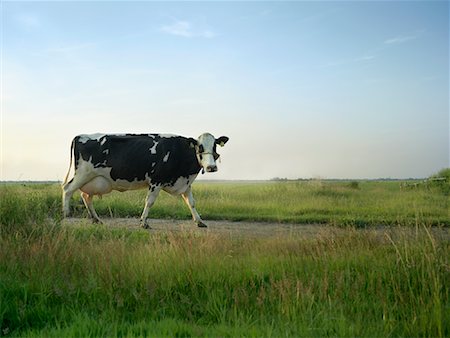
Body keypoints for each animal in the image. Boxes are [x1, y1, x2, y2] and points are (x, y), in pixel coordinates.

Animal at [61, 133, 229, 228]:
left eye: (215, 146)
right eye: (200, 147)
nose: (211, 167)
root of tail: (80, 135)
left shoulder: (185, 184)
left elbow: (192, 203)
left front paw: (199, 221)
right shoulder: (156, 181)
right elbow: (149, 202)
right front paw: (143, 223)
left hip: (94, 180)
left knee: (85, 196)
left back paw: (96, 219)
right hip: (83, 174)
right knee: (67, 189)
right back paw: (66, 214)